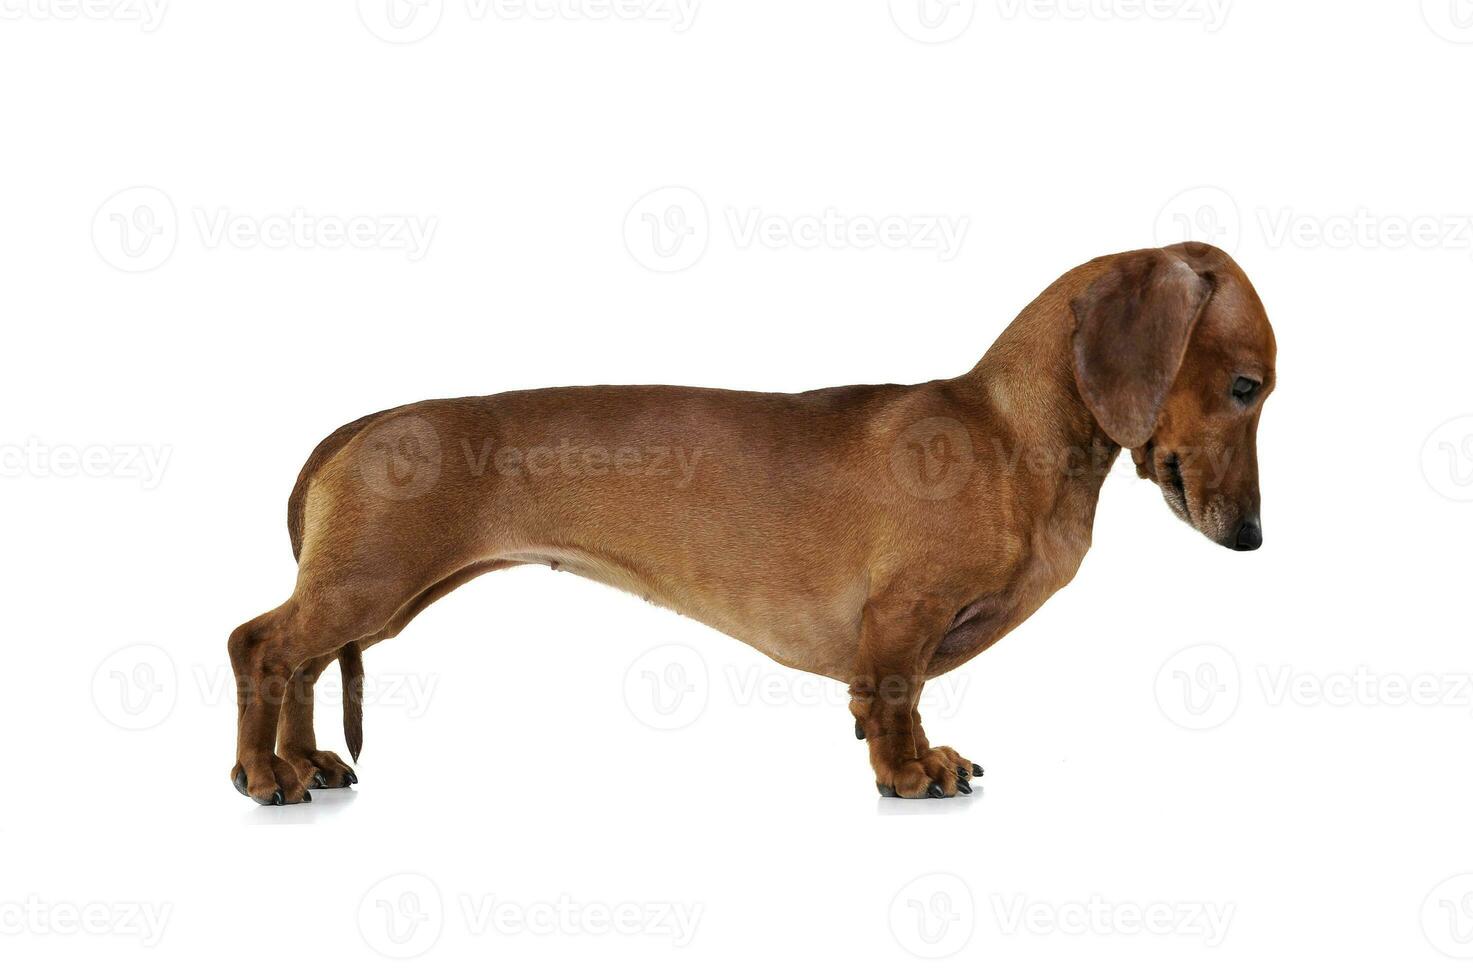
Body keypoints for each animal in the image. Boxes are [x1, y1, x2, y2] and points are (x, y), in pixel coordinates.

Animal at [223, 238, 1272, 801]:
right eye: (1246, 385)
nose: (1253, 539)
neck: (1007, 432)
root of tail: (363, 423)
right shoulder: (899, 619)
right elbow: (893, 699)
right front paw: (906, 773)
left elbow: (898, 703)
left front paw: (927, 756)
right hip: (370, 584)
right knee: (259, 645)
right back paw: (263, 775)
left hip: (376, 596)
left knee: (300, 664)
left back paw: (304, 760)